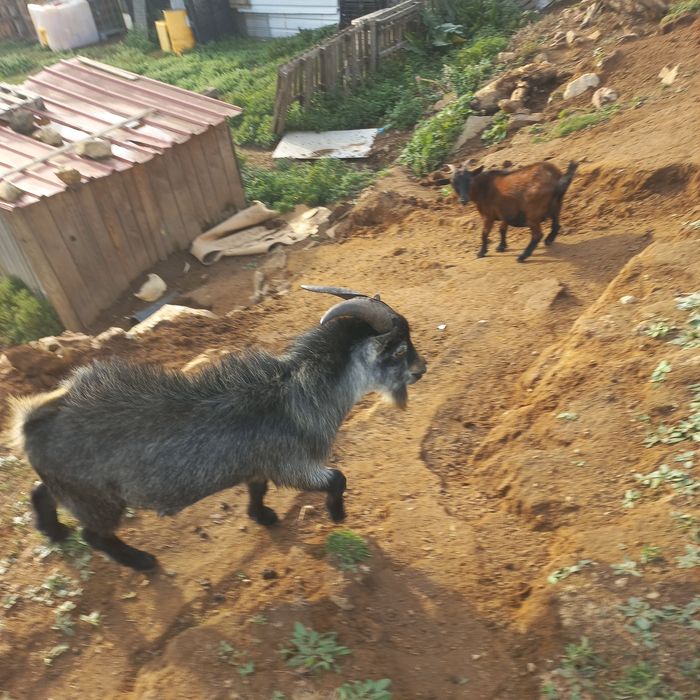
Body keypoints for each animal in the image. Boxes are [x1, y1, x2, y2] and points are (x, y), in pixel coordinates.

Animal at [8, 286, 426, 571]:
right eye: (399, 349)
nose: (422, 369)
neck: (296, 393)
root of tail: (32, 422)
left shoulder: (259, 463)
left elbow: (257, 487)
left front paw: (262, 516)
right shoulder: (292, 464)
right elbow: (337, 478)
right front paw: (337, 516)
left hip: (73, 488)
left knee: (40, 490)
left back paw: (53, 531)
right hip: (100, 499)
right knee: (93, 534)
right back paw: (141, 561)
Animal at [450, 160, 578, 262]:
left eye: (469, 179)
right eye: (453, 182)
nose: (463, 200)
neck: (483, 187)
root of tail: (555, 177)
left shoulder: (488, 216)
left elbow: (484, 234)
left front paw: (482, 252)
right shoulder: (505, 213)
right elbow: (502, 229)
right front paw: (501, 246)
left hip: (532, 213)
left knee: (537, 235)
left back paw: (523, 256)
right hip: (557, 205)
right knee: (556, 225)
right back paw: (548, 240)